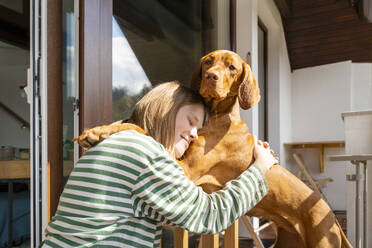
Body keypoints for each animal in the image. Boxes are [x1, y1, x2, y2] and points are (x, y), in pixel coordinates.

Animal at [75, 50, 352, 248]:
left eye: (232, 67)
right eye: (208, 61)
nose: (211, 77)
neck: (216, 116)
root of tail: (334, 219)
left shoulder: (185, 169)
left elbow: (143, 131)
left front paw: (104, 131)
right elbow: (132, 124)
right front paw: (97, 130)